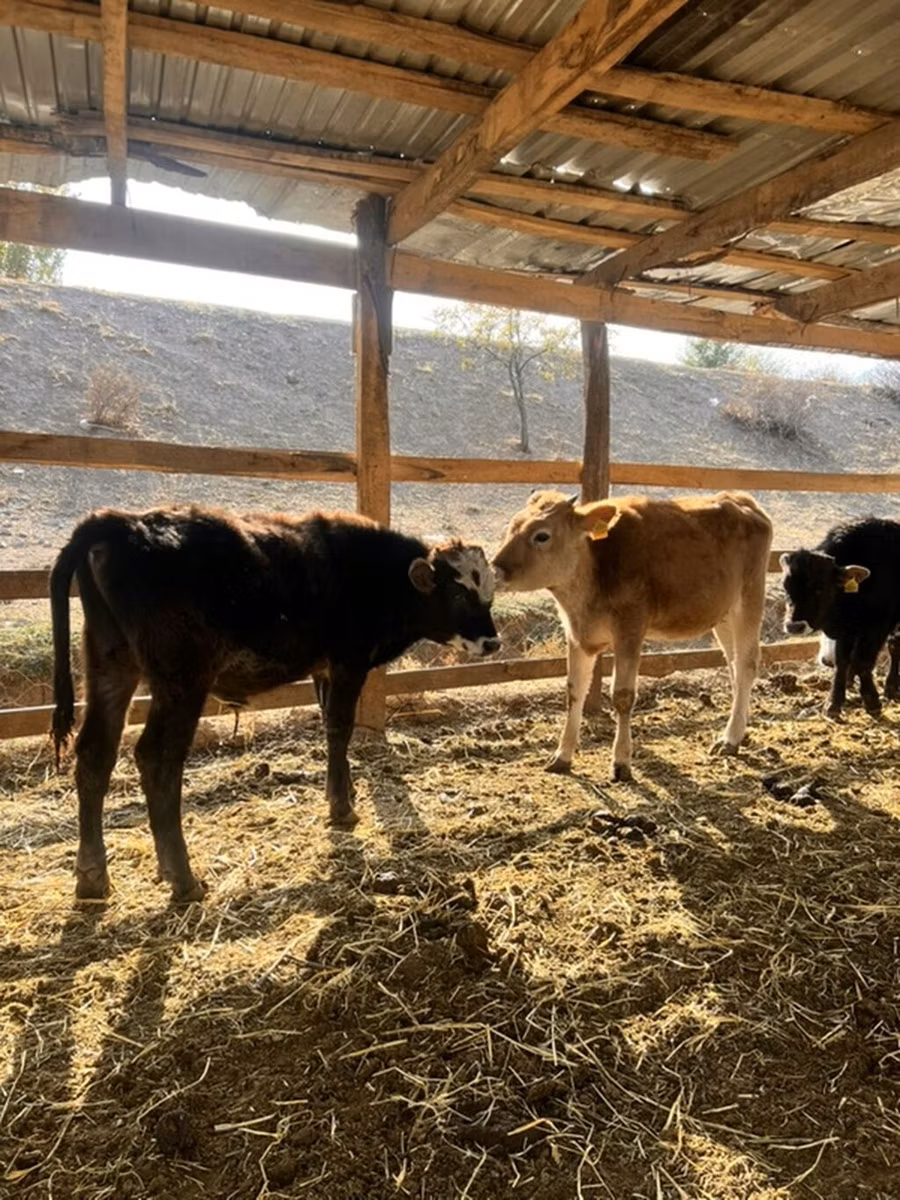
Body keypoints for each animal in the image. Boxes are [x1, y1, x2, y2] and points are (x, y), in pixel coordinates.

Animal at [50, 505, 500, 902]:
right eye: (459, 594)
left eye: (489, 595)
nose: (492, 642)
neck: (376, 575)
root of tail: (120, 522)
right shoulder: (349, 662)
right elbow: (340, 727)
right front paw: (342, 808)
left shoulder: (323, 669)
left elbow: (330, 729)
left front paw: (343, 792)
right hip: (181, 681)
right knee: (157, 758)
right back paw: (182, 877)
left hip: (111, 666)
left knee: (95, 755)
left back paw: (92, 876)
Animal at [491, 490, 773, 782]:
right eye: (511, 528)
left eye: (542, 535)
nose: (496, 569)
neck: (595, 569)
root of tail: (741, 499)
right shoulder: (578, 636)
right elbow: (574, 692)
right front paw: (562, 756)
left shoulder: (630, 630)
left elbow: (623, 696)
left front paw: (621, 762)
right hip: (723, 615)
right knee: (734, 667)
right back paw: (736, 732)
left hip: (749, 600)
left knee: (747, 665)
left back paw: (730, 739)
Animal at [780, 516, 900, 718]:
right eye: (786, 587)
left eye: (819, 588)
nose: (794, 626)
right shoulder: (847, 630)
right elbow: (842, 662)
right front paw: (833, 703)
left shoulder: (877, 627)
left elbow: (862, 661)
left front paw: (872, 701)